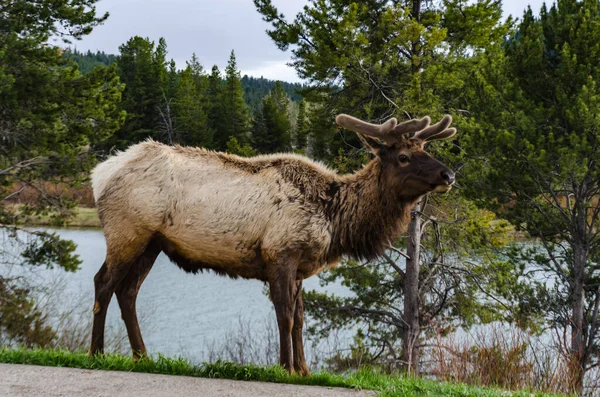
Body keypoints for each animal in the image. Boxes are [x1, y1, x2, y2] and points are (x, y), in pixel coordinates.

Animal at [89, 112, 454, 374]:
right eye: (404, 156)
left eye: (425, 150)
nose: (448, 175)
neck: (334, 221)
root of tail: (98, 175)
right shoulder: (280, 253)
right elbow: (285, 315)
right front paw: (285, 368)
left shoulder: (301, 266)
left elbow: (301, 318)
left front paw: (304, 369)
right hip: (127, 231)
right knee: (103, 283)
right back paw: (96, 352)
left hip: (152, 243)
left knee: (128, 291)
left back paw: (142, 356)